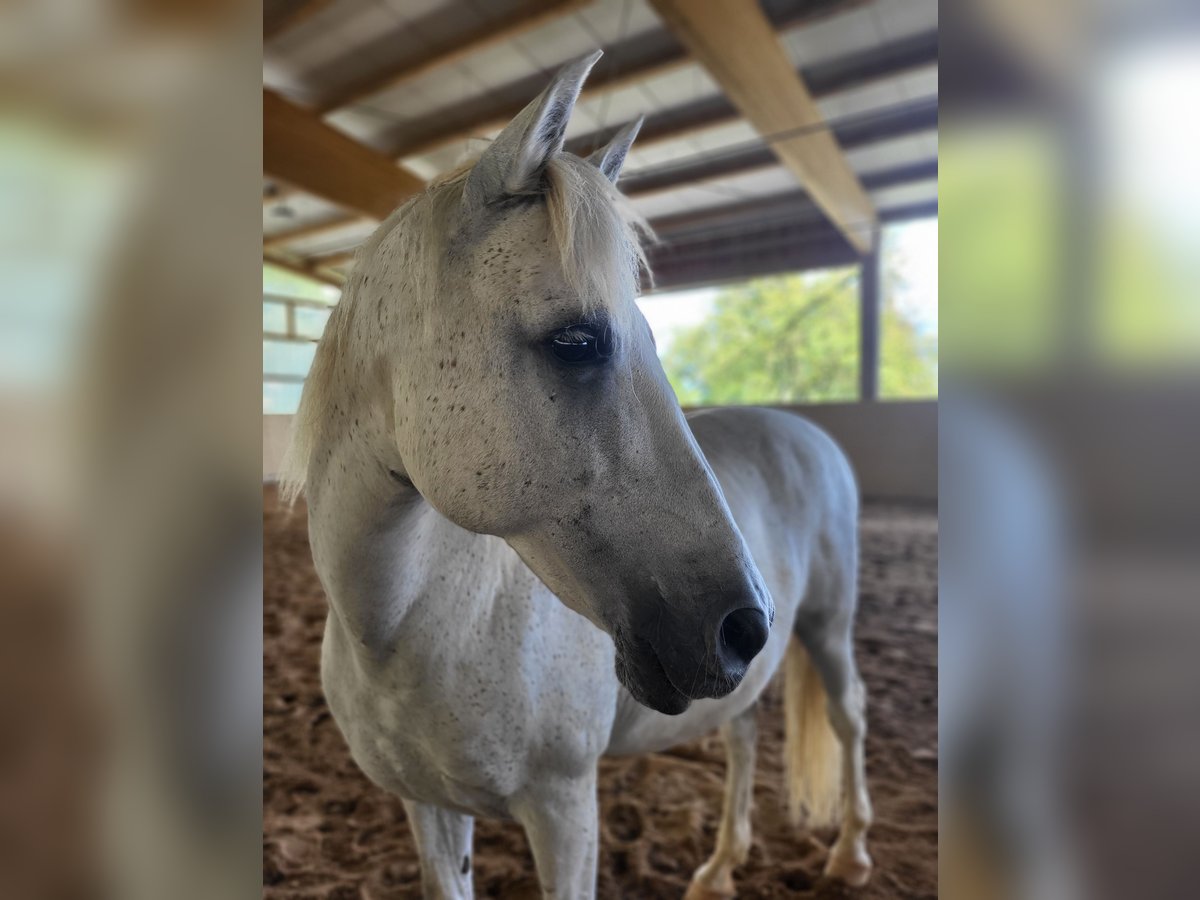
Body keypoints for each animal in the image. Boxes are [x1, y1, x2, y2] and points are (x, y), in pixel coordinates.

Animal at [283, 51, 873, 900]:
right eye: (576, 340)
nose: (742, 628)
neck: (404, 627)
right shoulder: (428, 809)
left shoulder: (564, 809)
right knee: (743, 737)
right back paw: (721, 866)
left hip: (829, 625)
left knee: (848, 714)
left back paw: (851, 851)